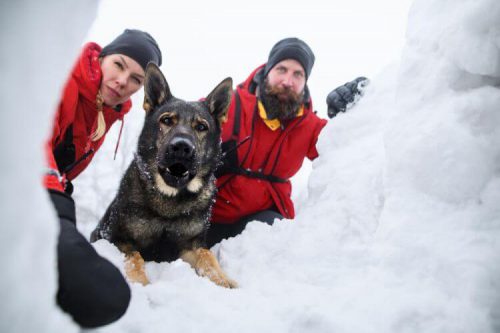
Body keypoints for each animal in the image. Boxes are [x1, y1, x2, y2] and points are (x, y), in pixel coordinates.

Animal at [90, 63, 236, 286]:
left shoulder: (190, 244)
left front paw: (222, 280)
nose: (182, 147)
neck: (170, 200)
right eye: (167, 120)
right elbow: (135, 257)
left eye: (201, 126)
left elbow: (207, 256)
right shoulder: (116, 238)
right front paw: (140, 283)